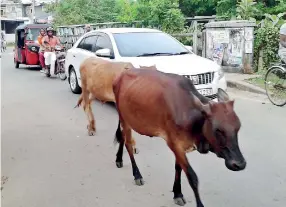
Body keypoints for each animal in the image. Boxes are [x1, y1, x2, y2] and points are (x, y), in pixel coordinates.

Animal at [111, 69, 246, 207]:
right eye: (218, 130)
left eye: (238, 127)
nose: (240, 164)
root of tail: (121, 74)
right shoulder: (174, 144)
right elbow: (192, 177)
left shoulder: (181, 148)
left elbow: (178, 168)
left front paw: (177, 194)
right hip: (125, 119)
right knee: (128, 144)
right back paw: (137, 175)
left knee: (122, 137)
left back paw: (119, 159)